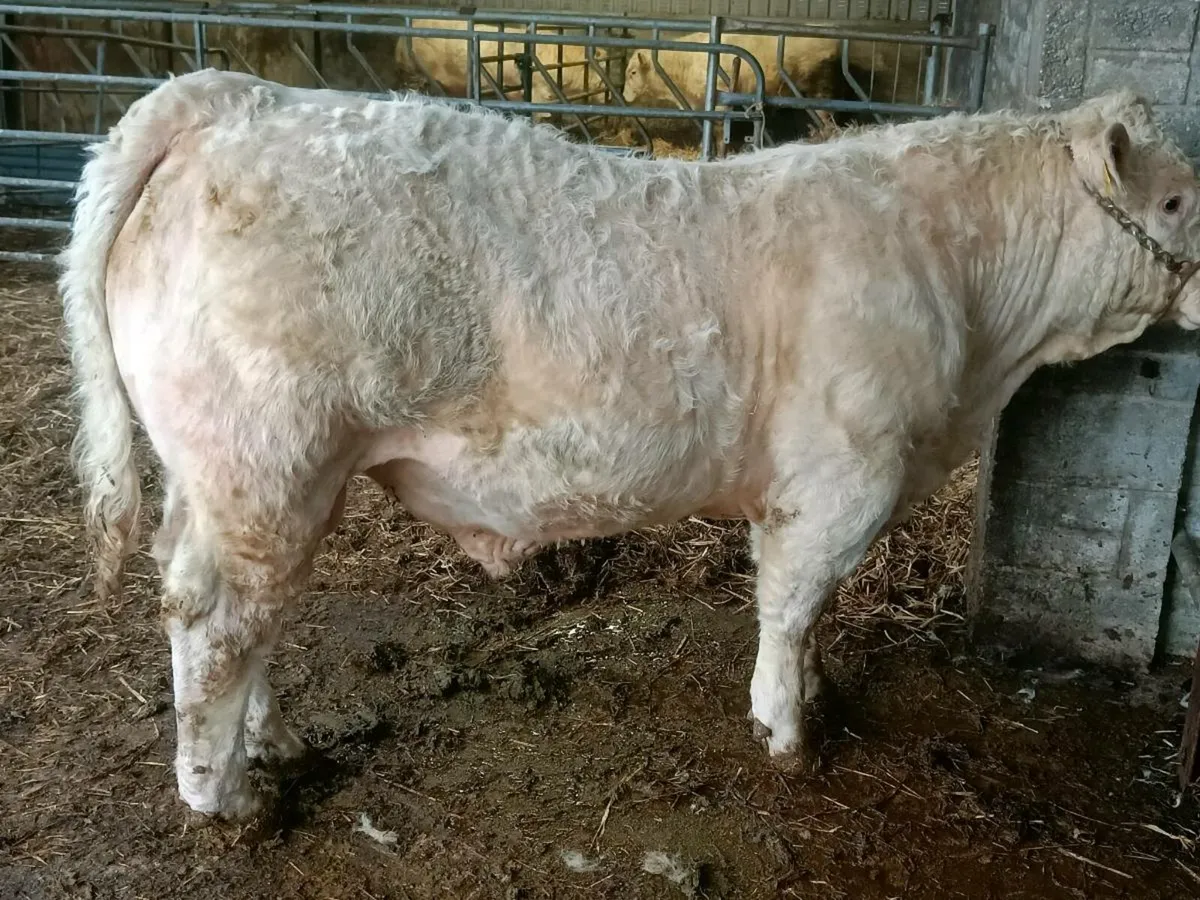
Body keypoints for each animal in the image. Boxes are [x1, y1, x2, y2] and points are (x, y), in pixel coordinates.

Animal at [61, 69, 1200, 821]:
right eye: (1179, 199)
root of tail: (237, 99)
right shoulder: (842, 477)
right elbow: (795, 605)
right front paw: (790, 733)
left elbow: (805, 612)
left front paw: (814, 696)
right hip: (268, 460)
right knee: (215, 618)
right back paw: (223, 799)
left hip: (225, 476)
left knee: (225, 603)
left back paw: (270, 741)